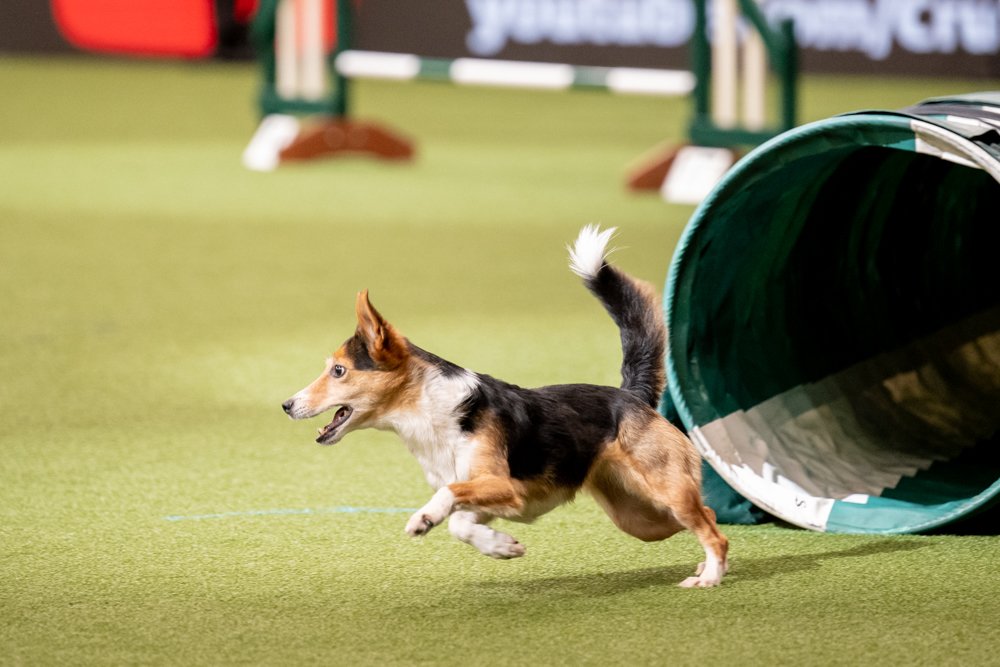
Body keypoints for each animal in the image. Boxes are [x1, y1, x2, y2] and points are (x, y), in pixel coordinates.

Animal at [280, 227, 728, 588]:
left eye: (338, 371)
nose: (286, 405)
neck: (427, 415)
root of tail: (631, 396)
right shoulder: (495, 501)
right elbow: (459, 523)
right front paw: (502, 547)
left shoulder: (502, 485)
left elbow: (448, 493)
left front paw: (424, 518)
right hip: (639, 517)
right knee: (707, 515)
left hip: (664, 491)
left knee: (713, 530)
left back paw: (709, 577)